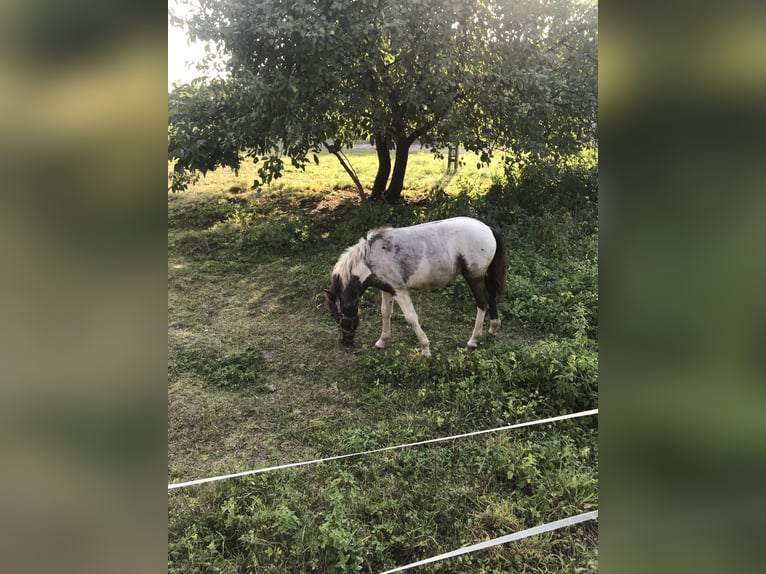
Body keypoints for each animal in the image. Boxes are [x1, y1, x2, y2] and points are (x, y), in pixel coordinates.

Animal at [326, 218, 510, 358]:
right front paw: (382, 341)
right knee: (492, 296)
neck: (372, 258)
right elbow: (385, 313)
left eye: (338, 315)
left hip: (474, 278)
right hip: (484, 276)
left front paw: (425, 349)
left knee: (482, 303)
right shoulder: (387, 289)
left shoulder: (399, 290)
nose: (344, 341)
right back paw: (493, 327)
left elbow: (411, 318)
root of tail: (488, 228)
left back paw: (472, 341)